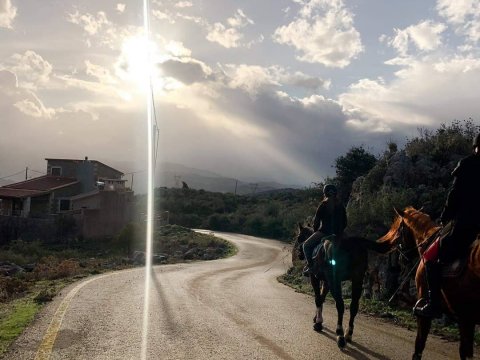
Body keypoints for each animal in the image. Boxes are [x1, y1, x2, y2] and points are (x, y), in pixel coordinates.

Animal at [378, 205, 480, 360]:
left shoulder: (425, 313)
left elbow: (419, 345)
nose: (402, 259)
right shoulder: (466, 318)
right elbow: (464, 351)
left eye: (400, 230)